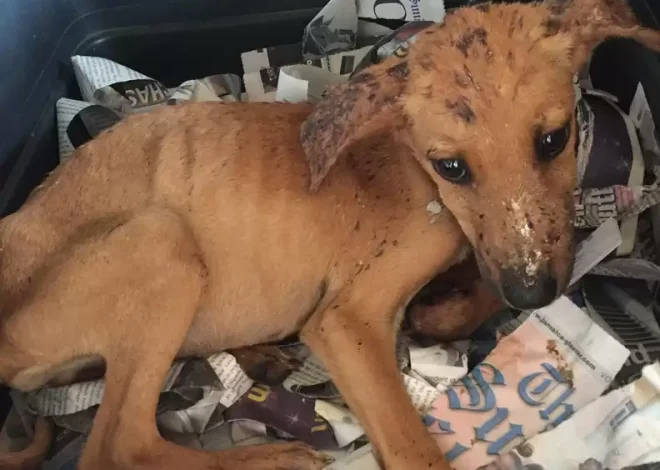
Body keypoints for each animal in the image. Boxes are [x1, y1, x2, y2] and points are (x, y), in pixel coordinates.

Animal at [0, 0, 656, 470]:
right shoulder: (346, 319)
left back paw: (259, 359)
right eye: (451, 166)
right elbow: (414, 449)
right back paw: (270, 457)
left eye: (554, 139)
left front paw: (445, 312)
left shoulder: (509, 252)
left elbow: (497, 274)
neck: (410, 163)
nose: (533, 295)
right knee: (117, 448)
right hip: (159, 239)